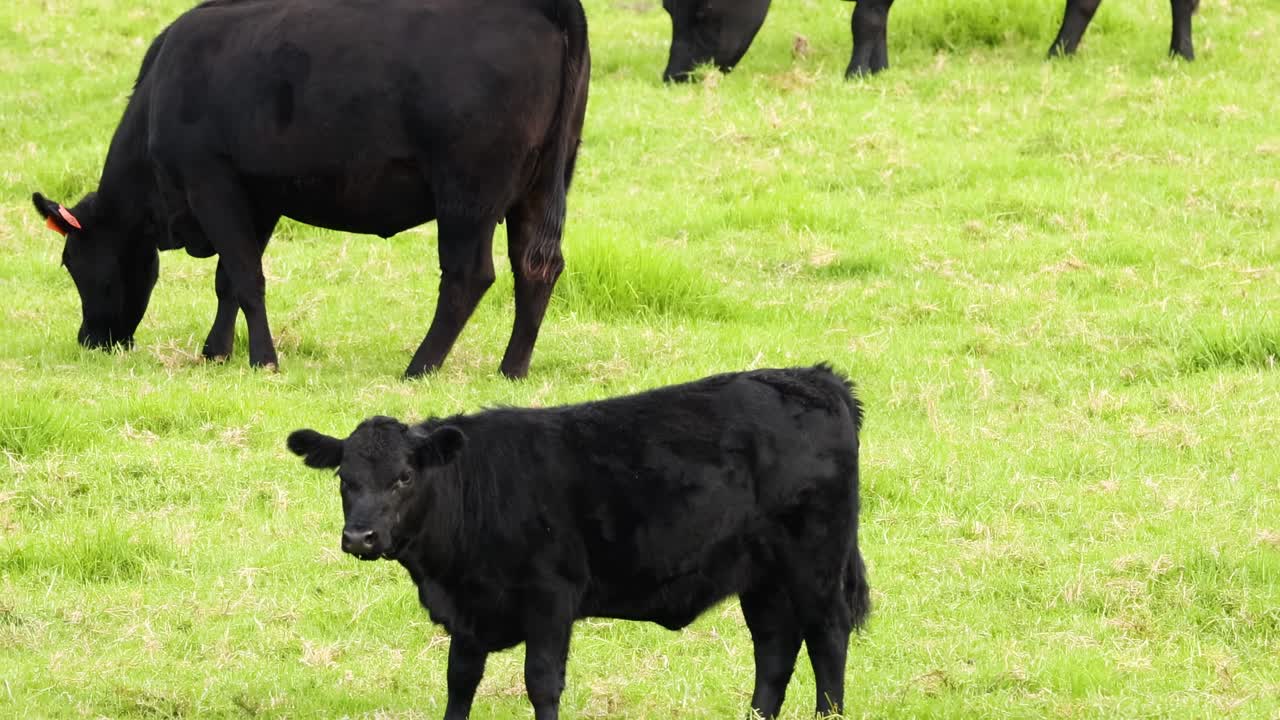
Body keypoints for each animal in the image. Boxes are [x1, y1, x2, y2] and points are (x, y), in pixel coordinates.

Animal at [31, 0, 590, 379]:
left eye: (73, 263)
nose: (91, 340)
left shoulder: (210, 180)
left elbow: (246, 275)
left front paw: (263, 361)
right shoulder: (258, 196)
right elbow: (229, 279)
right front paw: (216, 352)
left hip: (467, 193)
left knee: (469, 276)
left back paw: (419, 367)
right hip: (542, 182)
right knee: (536, 268)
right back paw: (511, 370)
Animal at [287, 364, 871, 719]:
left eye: (404, 477)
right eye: (344, 477)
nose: (360, 537)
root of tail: (815, 379)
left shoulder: (551, 598)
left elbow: (541, 682)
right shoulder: (470, 613)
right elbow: (460, 681)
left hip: (816, 562)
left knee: (827, 638)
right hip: (762, 576)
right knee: (775, 648)